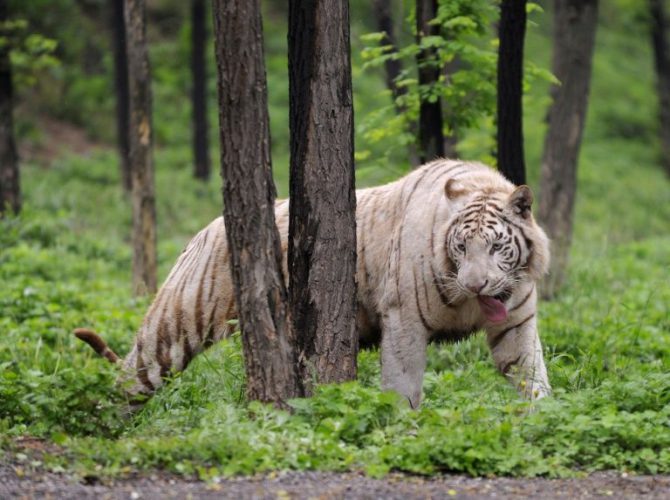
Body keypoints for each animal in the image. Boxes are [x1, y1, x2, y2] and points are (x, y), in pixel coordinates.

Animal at [75, 159, 551, 409]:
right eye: (462, 247)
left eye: (495, 247)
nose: (475, 286)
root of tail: (204, 229)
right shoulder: (404, 320)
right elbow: (403, 384)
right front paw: (402, 426)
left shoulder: (516, 321)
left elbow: (532, 374)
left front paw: (545, 416)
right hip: (176, 324)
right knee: (131, 374)